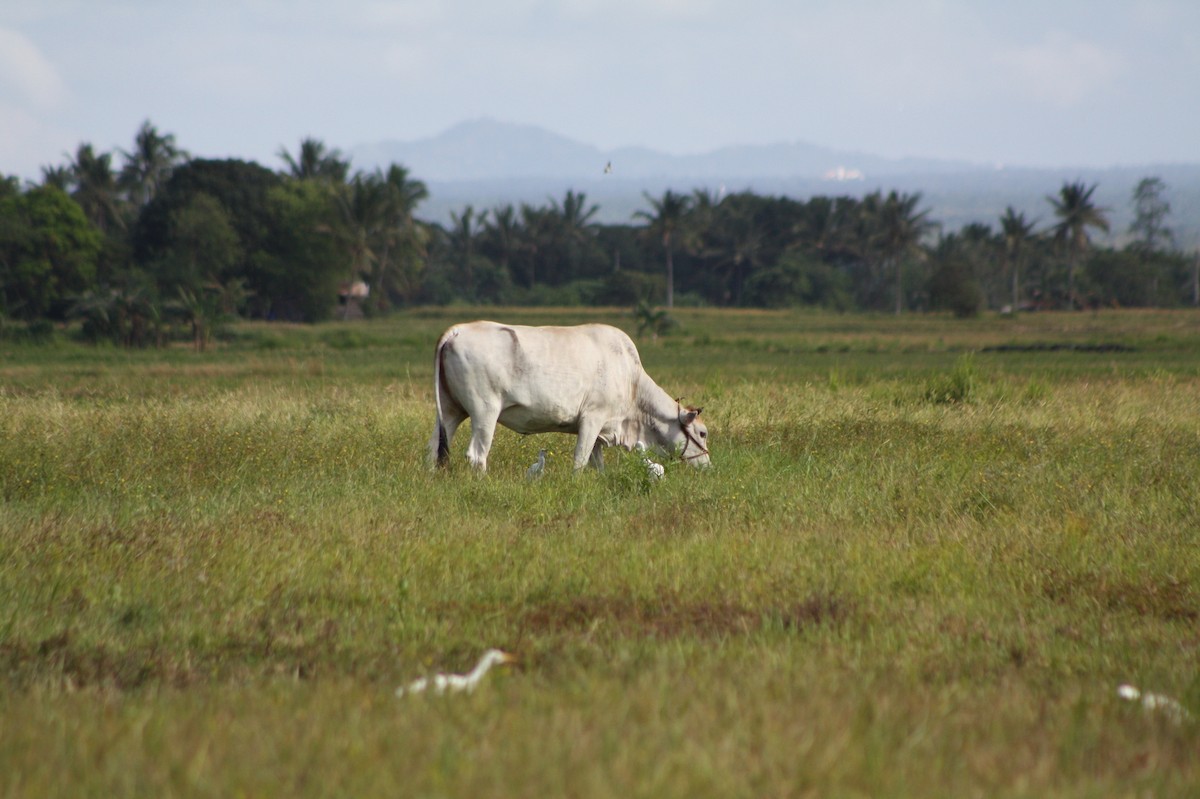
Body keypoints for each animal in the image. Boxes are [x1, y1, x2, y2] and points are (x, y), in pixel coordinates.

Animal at [432, 321, 710, 470]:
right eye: (702, 433)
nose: (708, 465)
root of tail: (457, 331)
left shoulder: (600, 432)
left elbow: (598, 465)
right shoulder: (592, 419)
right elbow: (580, 461)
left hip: (450, 412)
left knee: (433, 450)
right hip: (485, 413)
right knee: (477, 455)